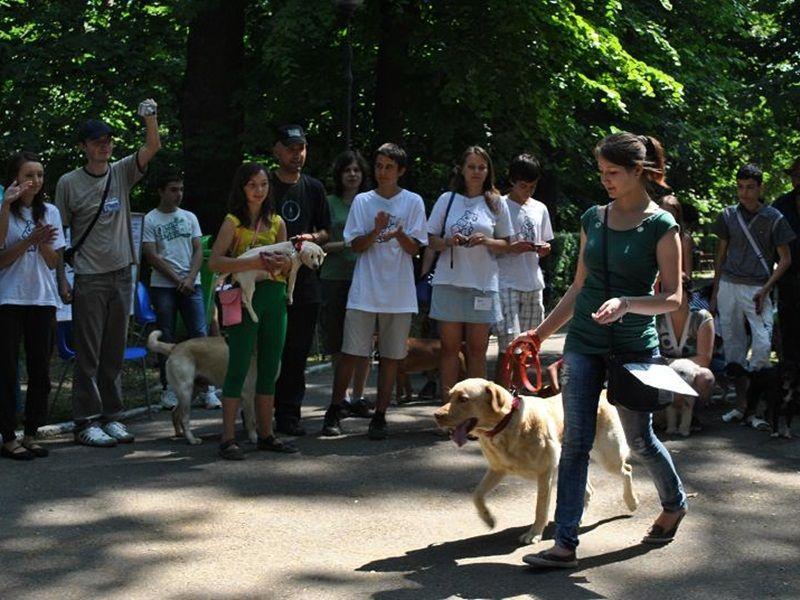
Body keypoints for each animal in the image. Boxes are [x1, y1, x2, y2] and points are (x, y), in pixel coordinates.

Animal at [434, 378, 638, 545]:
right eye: (450, 396)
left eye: (463, 399)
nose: (436, 415)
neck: (505, 424)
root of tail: (602, 393)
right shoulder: (497, 469)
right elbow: (476, 495)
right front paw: (488, 518)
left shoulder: (545, 473)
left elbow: (540, 508)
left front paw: (534, 534)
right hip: (570, 461)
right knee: (588, 490)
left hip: (608, 457)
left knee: (627, 469)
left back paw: (632, 502)